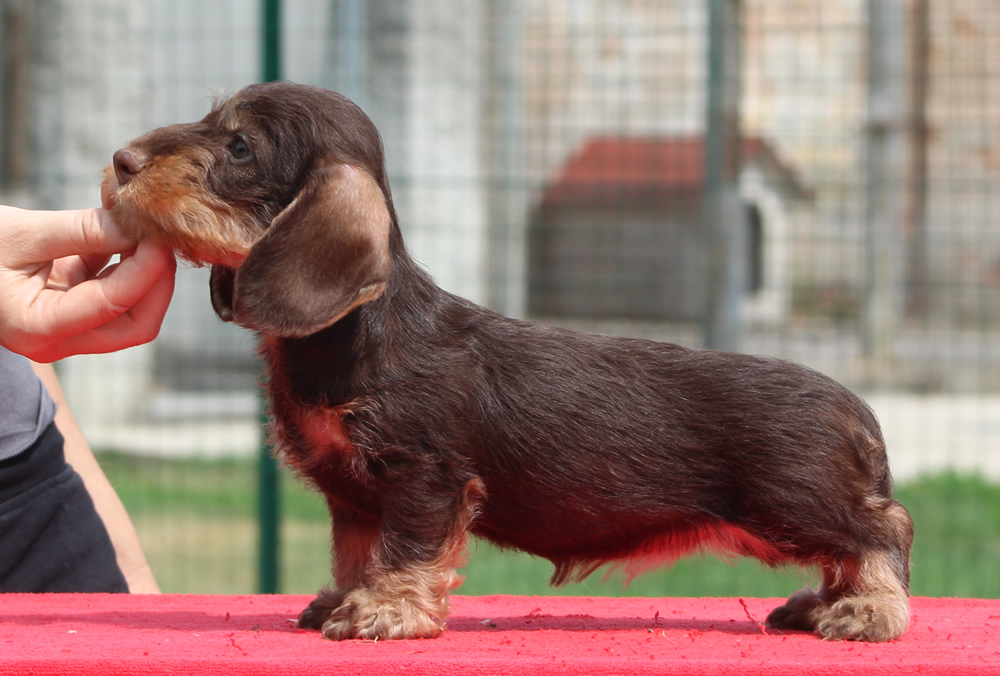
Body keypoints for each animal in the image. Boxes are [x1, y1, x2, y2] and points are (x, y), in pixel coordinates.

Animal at [103, 82, 916, 640]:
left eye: (239, 147)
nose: (120, 160)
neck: (359, 328)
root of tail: (857, 409)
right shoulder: (355, 495)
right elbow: (355, 551)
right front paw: (345, 598)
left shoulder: (422, 475)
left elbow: (404, 548)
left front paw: (386, 612)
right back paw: (824, 604)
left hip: (792, 501)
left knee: (884, 530)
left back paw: (868, 609)